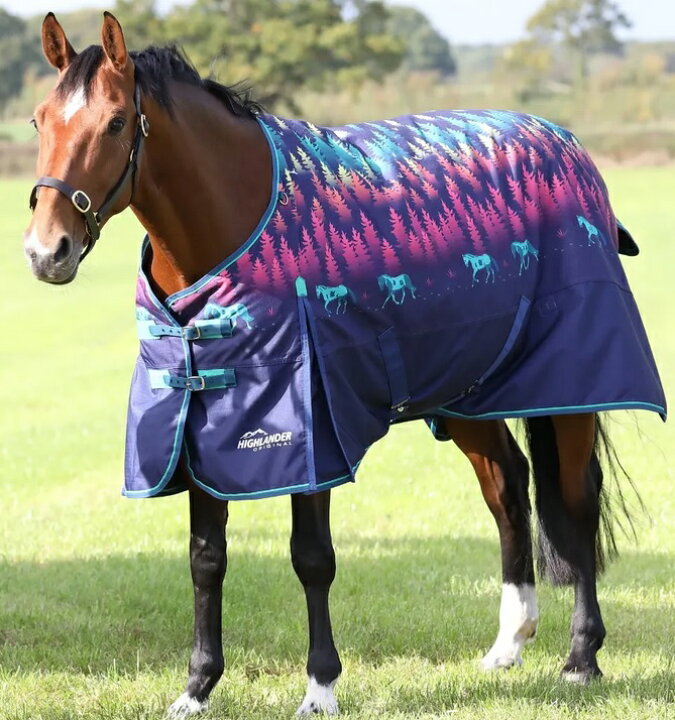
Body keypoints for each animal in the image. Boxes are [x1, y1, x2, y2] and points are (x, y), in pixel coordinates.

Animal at [23, 13, 664, 717]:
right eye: (38, 120)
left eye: (115, 122)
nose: (45, 251)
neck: (238, 223)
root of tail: (565, 144)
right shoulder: (199, 430)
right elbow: (206, 558)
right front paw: (196, 688)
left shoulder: (312, 431)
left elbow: (312, 558)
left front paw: (320, 687)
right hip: (468, 392)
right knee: (507, 488)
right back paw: (509, 643)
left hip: (572, 388)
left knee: (577, 498)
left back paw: (581, 657)